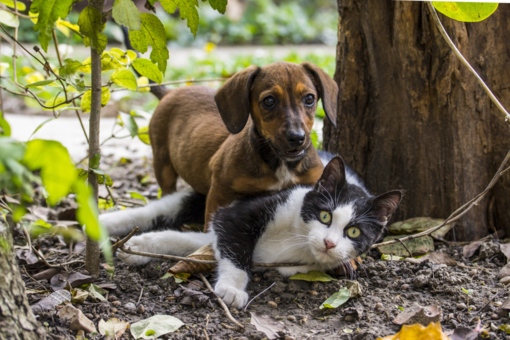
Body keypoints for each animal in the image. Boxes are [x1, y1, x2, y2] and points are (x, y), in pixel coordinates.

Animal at [99, 153, 402, 308]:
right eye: (325, 215)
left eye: (354, 233)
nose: (329, 243)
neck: (298, 239)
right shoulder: (240, 213)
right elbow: (235, 248)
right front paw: (232, 289)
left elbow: (192, 241)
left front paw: (140, 247)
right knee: (159, 209)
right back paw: (103, 223)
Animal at [148, 61, 338, 228]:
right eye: (269, 101)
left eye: (309, 98)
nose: (297, 138)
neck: (280, 164)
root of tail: (169, 93)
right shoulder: (219, 191)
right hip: (163, 165)